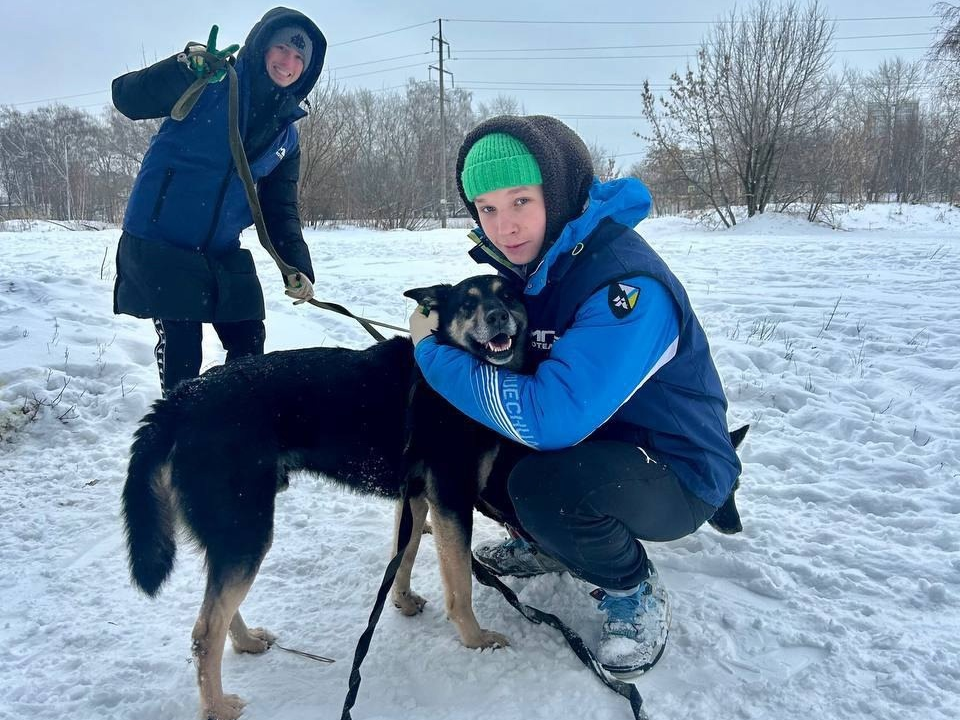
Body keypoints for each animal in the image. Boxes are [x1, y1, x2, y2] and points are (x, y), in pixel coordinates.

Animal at [122, 274, 524, 720]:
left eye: (508, 295)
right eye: (468, 304)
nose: (498, 316)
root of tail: (181, 399)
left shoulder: (416, 500)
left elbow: (402, 557)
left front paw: (401, 601)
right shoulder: (452, 500)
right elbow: (460, 586)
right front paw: (476, 639)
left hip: (234, 533)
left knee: (217, 610)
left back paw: (245, 642)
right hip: (247, 529)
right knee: (205, 630)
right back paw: (217, 707)